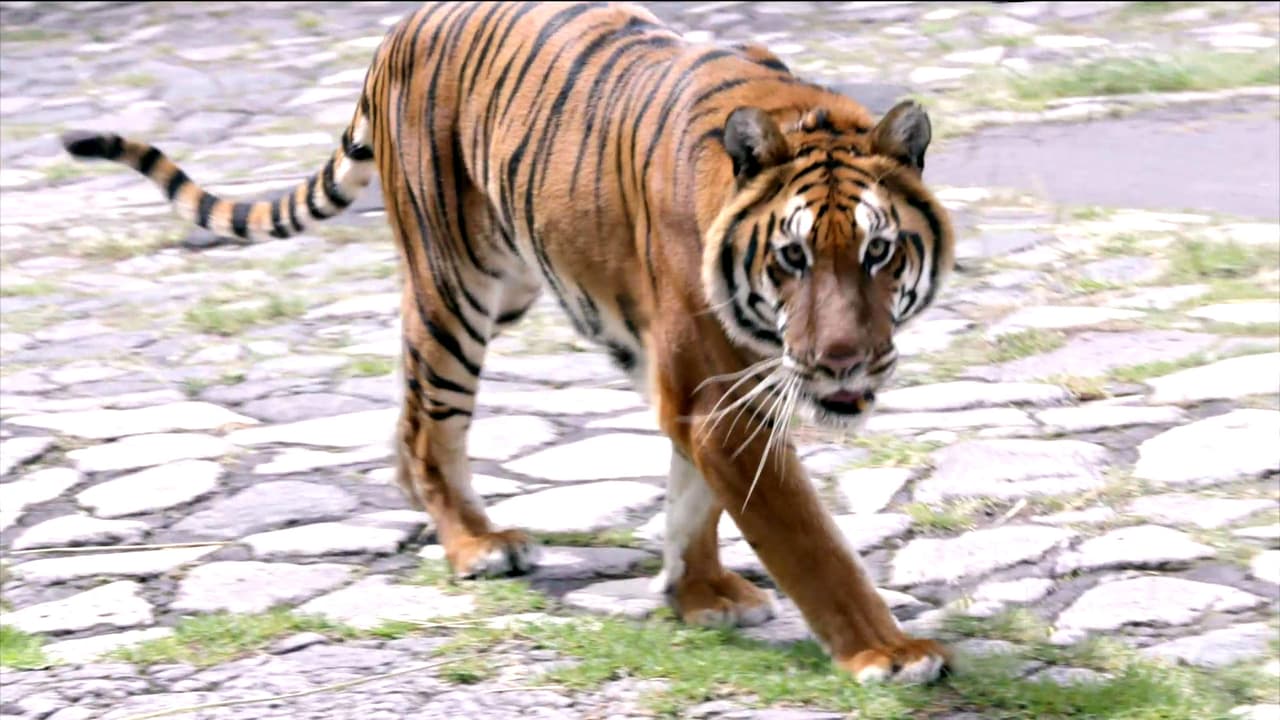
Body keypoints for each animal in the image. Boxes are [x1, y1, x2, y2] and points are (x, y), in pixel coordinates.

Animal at [61, 1, 956, 685]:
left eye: (879, 251)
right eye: (792, 258)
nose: (842, 361)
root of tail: (399, 29)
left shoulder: (706, 389)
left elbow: (694, 498)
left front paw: (699, 593)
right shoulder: (718, 395)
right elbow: (809, 541)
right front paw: (890, 651)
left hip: (515, 286)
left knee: (405, 418)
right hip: (454, 289)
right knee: (431, 424)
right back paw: (475, 546)